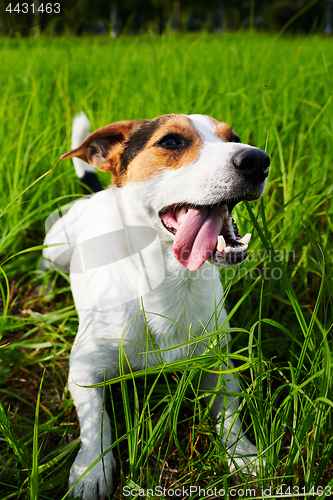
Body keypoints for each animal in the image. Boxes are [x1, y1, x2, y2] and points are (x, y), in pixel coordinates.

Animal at [42, 113, 268, 500]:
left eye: (233, 136)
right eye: (171, 141)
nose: (257, 160)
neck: (170, 283)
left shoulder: (218, 363)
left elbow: (229, 413)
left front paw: (242, 454)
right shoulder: (83, 369)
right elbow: (95, 421)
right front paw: (91, 470)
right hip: (54, 246)